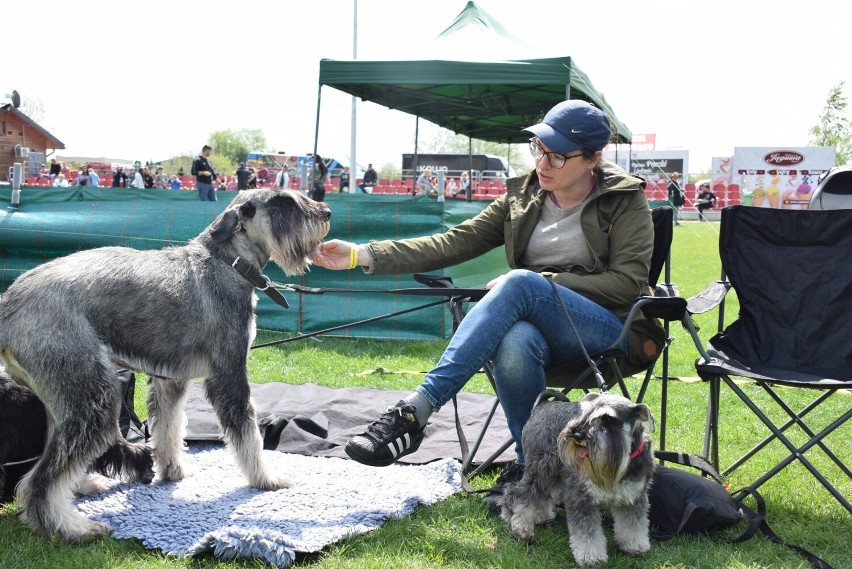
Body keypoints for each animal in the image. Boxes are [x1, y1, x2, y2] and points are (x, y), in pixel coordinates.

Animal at [0, 187, 332, 540]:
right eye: (283, 201)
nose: (326, 212)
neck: (230, 262)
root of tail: (8, 306)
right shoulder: (229, 374)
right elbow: (248, 435)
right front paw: (266, 479)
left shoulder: (170, 380)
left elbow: (169, 429)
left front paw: (173, 471)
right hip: (92, 400)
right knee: (40, 481)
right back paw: (73, 527)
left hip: (61, 400)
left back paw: (83, 487)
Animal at [500, 392, 652, 564]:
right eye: (585, 413)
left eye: (607, 419)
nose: (577, 434)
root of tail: (541, 406)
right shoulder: (581, 496)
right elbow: (586, 532)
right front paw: (590, 557)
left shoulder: (634, 496)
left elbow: (633, 523)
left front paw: (635, 546)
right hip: (541, 470)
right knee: (518, 494)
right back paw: (520, 528)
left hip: (554, 475)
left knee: (542, 496)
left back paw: (542, 517)